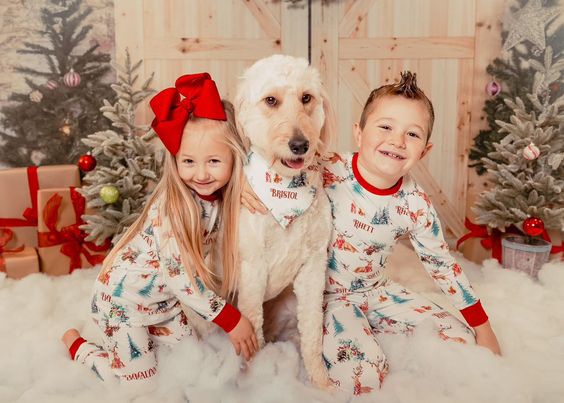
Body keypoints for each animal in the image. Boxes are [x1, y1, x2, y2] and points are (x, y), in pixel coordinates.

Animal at [234, 54, 334, 388]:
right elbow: (251, 327)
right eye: (271, 100)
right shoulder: (252, 270)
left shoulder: (313, 268)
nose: (300, 144)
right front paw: (253, 379)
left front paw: (322, 384)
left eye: (307, 98)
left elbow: (313, 333)